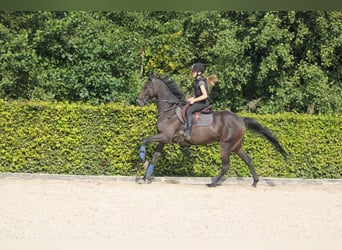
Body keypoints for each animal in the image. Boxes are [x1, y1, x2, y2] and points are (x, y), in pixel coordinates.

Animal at [135, 75, 288, 187]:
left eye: (146, 87)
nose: (138, 102)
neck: (169, 111)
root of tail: (240, 118)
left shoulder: (165, 136)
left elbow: (145, 140)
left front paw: (143, 160)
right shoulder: (163, 140)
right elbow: (155, 158)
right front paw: (145, 176)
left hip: (225, 144)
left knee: (226, 165)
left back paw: (213, 183)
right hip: (236, 146)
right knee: (248, 160)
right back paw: (255, 182)